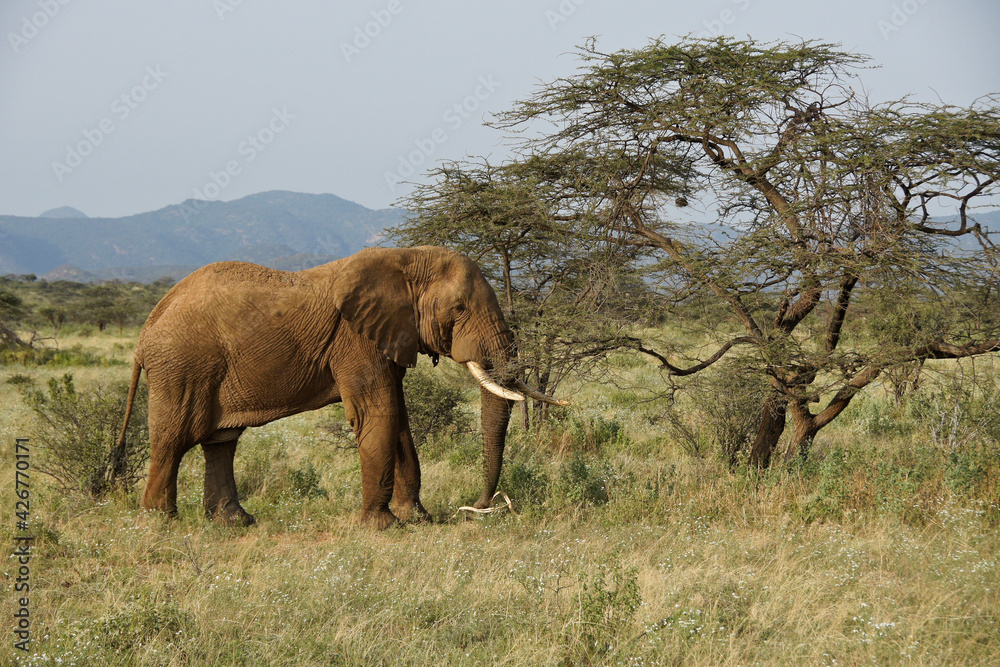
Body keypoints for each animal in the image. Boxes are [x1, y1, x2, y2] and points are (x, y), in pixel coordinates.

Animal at [117, 246, 566, 529]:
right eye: (458, 309)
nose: (476, 507)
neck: (405, 258)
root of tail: (146, 329)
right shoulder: (355, 340)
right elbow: (379, 412)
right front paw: (384, 527)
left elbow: (398, 419)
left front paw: (418, 520)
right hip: (183, 367)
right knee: (174, 439)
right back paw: (159, 523)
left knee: (220, 441)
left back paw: (235, 523)